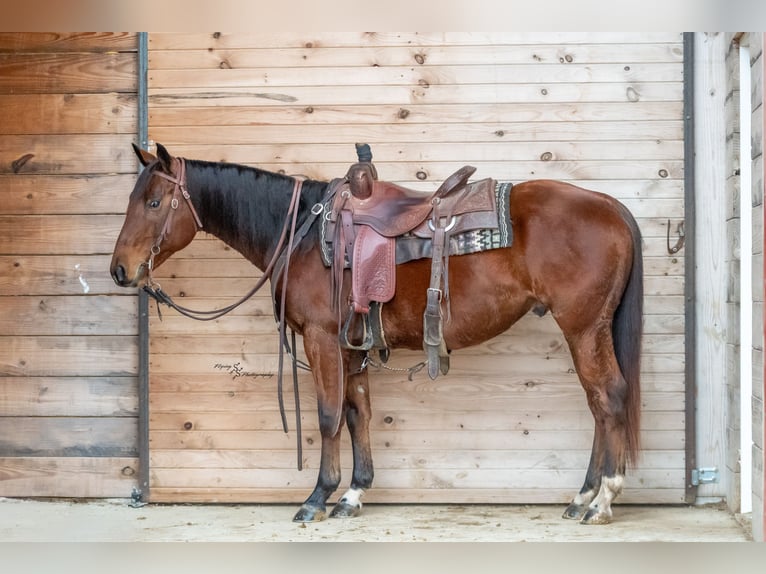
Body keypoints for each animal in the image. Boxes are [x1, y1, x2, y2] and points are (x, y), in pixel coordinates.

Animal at [110, 143, 643, 525]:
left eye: (154, 202)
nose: (120, 270)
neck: (304, 235)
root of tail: (610, 206)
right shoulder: (350, 346)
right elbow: (357, 413)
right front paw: (353, 493)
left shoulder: (322, 339)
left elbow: (328, 416)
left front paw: (317, 498)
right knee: (599, 404)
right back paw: (582, 497)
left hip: (584, 328)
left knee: (609, 398)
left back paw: (602, 499)